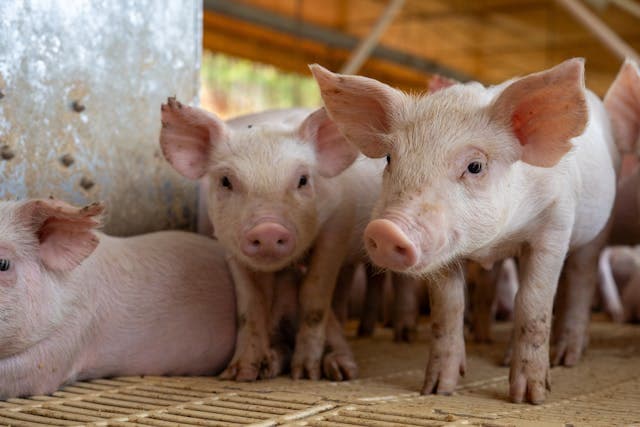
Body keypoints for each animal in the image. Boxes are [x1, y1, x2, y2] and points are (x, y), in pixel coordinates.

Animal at [160, 99, 386, 381]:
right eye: (225, 181)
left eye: (303, 180)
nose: (267, 229)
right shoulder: (229, 246)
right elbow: (251, 305)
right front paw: (240, 373)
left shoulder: (338, 225)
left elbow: (314, 293)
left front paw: (305, 373)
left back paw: (350, 362)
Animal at [311, 58, 618, 404]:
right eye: (390, 158)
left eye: (475, 166)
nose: (386, 230)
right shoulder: (444, 253)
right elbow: (448, 308)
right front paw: (437, 390)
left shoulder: (556, 222)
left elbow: (533, 302)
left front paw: (529, 398)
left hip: (598, 231)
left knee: (581, 279)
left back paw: (567, 357)